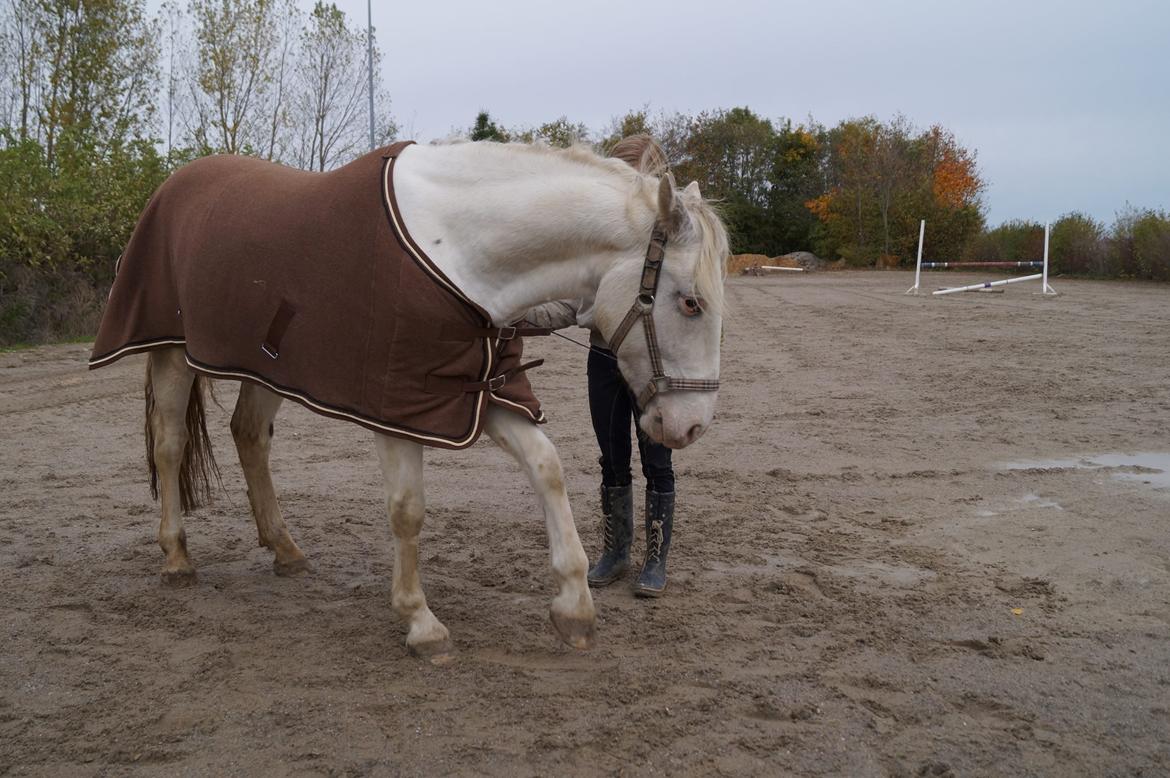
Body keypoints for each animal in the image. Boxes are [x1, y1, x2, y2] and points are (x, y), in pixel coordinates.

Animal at [141, 138, 725, 655]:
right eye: (690, 302)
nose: (691, 426)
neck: (460, 252)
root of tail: (173, 185)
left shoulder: (481, 392)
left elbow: (547, 469)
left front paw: (574, 608)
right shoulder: (397, 408)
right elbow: (407, 510)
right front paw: (421, 622)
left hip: (266, 369)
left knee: (249, 437)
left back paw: (285, 550)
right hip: (171, 351)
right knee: (169, 445)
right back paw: (176, 558)